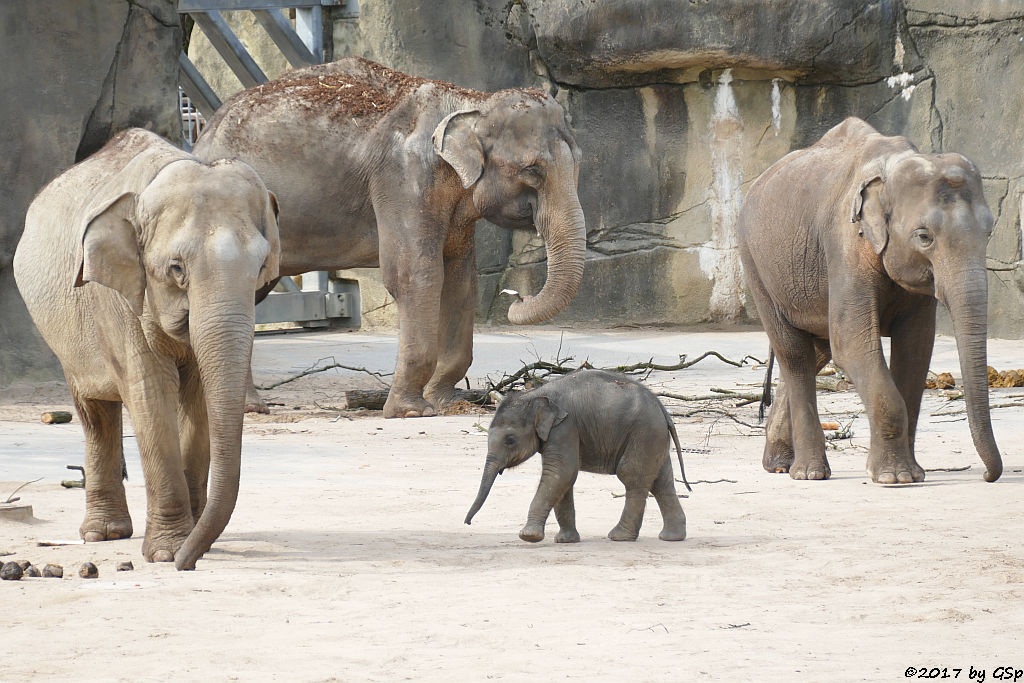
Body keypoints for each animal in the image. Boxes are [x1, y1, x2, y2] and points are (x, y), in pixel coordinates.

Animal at [12, 125, 284, 569]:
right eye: (176, 269)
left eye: (261, 267)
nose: (187, 565)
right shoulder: (118, 297)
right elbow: (150, 391)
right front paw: (168, 551)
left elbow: (197, 396)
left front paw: (195, 542)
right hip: (65, 338)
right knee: (95, 412)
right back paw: (103, 534)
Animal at [192, 58, 589, 419]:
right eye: (532, 170)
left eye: (579, 165)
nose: (516, 297)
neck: (471, 102)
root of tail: (202, 135)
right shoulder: (403, 180)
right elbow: (416, 277)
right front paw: (411, 412)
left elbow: (461, 281)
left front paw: (447, 402)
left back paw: (245, 407)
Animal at [466, 370, 692, 540]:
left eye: (510, 440)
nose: (467, 522)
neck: (535, 395)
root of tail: (664, 411)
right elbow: (562, 478)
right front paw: (565, 540)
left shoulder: (565, 427)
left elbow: (562, 472)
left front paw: (528, 536)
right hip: (653, 437)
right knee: (662, 481)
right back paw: (671, 537)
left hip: (643, 432)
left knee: (632, 476)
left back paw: (619, 536)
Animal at [741, 114, 1003, 483]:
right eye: (924, 237)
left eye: (988, 231)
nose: (987, 476)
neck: (894, 165)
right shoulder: (845, 245)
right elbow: (852, 344)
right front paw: (895, 478)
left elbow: (916, 347)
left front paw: (911, 473)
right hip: (756, 266)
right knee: (795, 353)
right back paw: (808, 473)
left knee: (817, 351)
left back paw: (779, 464)